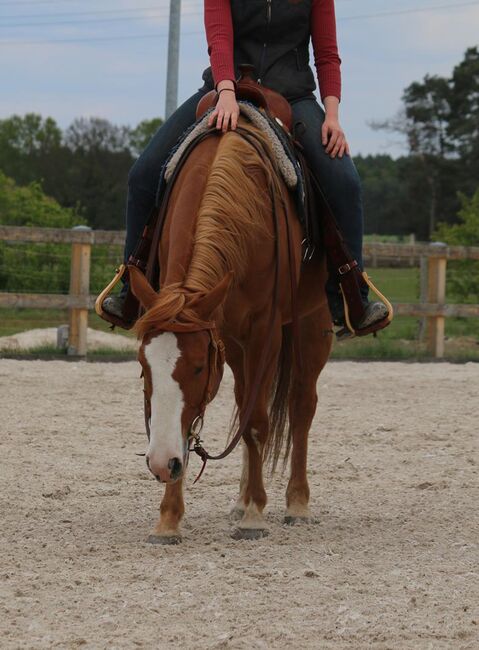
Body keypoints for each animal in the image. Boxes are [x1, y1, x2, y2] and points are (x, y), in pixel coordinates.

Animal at [128, 116, 334, 540]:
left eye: (197, 368)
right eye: (143, 366)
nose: (160, 463)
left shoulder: (262, 335)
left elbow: (256, 424)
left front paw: (256, 515)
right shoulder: (227, 338)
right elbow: (197, 426)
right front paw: (168, 519)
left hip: (311, 325)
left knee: (300, 406)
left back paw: (297, 504)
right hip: (236, 346)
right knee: (246, 403)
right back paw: (239, 502)